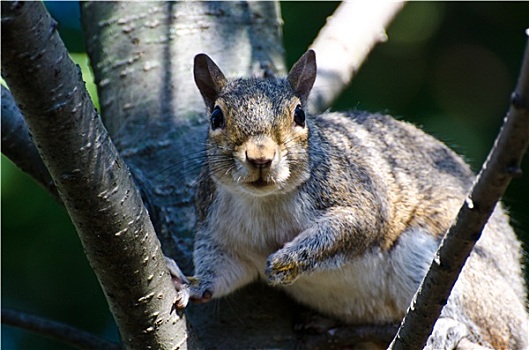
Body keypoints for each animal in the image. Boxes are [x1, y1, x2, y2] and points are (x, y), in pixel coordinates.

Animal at [166, 50, 528, 350]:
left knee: (492, 330)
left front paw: (287, 261)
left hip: (449, 266)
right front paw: (191, 284)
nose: (260, 157)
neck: (266, 200)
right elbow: (224, 270)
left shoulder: (358, 195)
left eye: (300, 115)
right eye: (216, 117)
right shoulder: (221, 233)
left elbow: (354, 227)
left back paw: (451, 327)